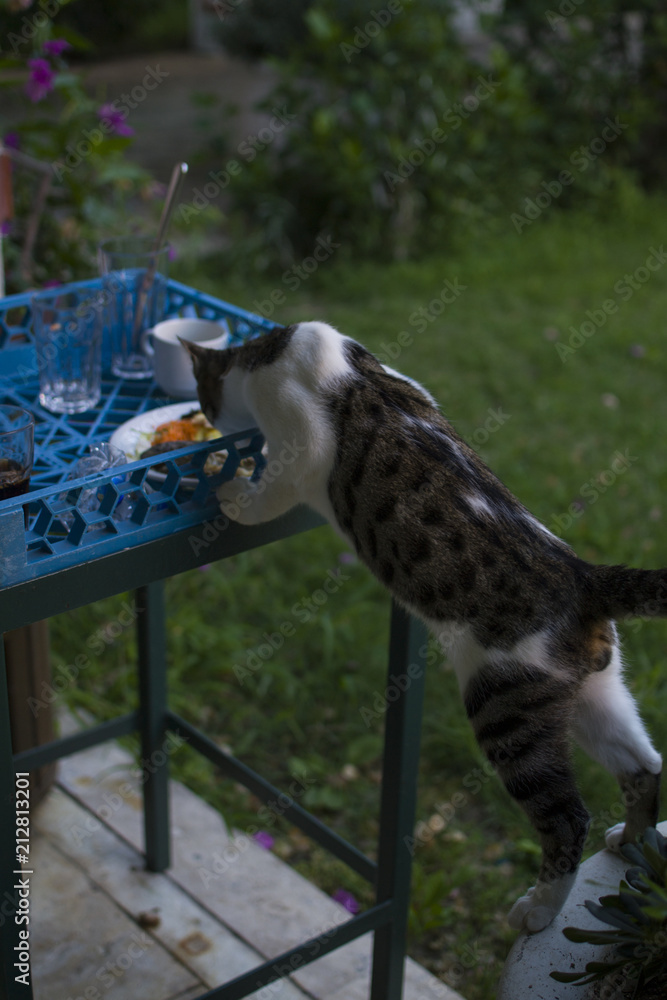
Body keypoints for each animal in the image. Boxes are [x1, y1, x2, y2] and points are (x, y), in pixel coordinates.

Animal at [180, 322, 664, 936]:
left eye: (202, 395)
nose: (208, 421)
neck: (277, 349)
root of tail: (583, 577)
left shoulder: (297, 447)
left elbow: (268, 493)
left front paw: (233, 492)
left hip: (505, 708)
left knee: (568, 818)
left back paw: (539, 909)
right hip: (595, 695)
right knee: (645, 765)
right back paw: (633, 844)